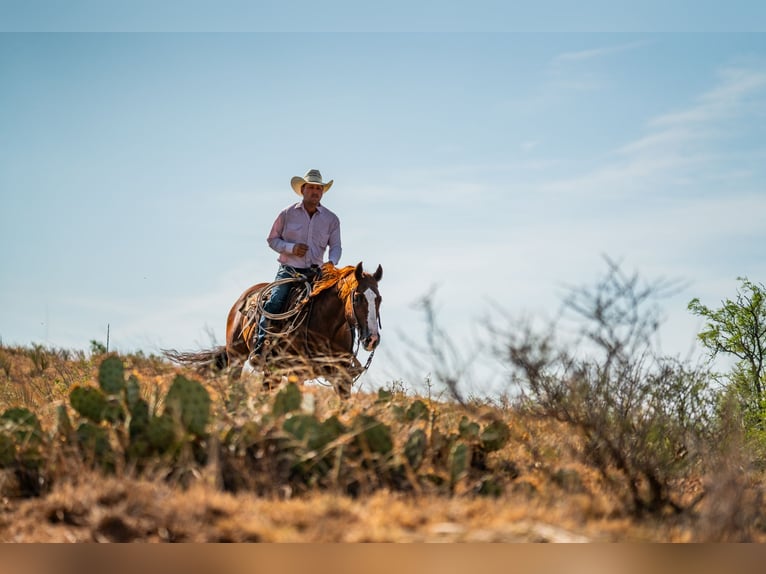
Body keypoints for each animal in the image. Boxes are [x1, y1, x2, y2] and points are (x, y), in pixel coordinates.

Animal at [165, 261, 383, 397]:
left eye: (379, 299)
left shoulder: (341, 379)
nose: (372, 339)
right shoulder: (296, 373)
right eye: (358, 297)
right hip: (239, 359)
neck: (326, 328)